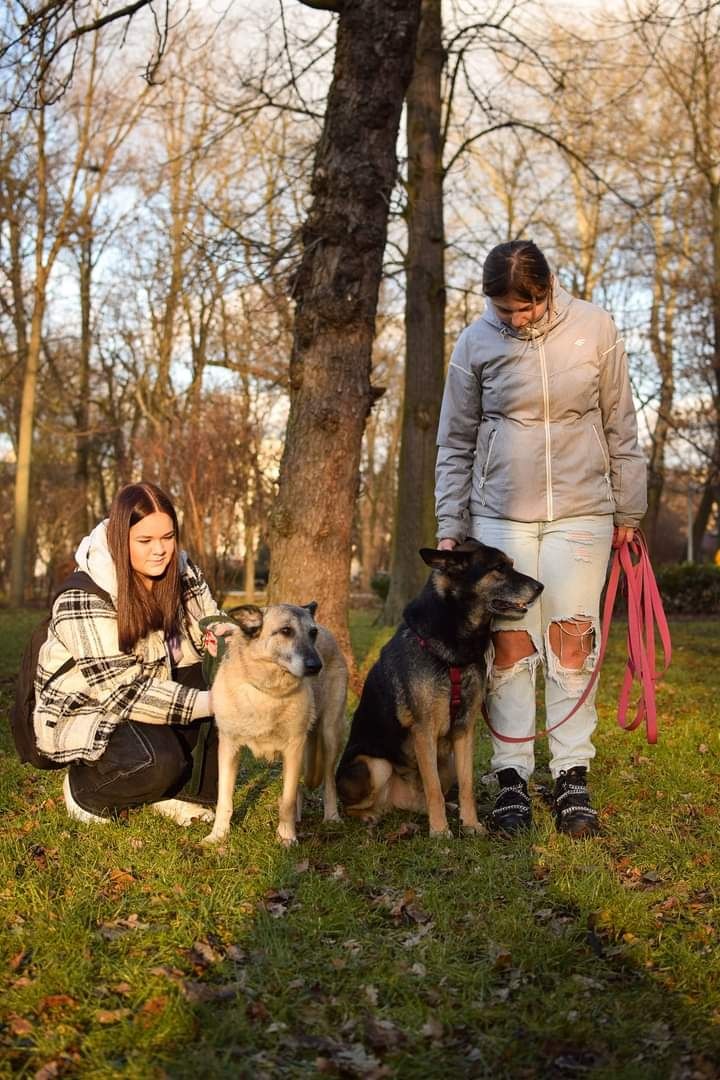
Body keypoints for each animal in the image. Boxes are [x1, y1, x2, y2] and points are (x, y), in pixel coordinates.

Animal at [202, 609, 349, 842]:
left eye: (312, 632)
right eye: (286, 631)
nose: (316, 666)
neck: (268, 691)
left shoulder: (294, 748)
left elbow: (287, 802)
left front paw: (287, 838)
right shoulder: (228, 748)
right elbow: (224, 800)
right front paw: (218, 835)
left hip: (329, 735)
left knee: (328, 781)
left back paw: (332, 817)